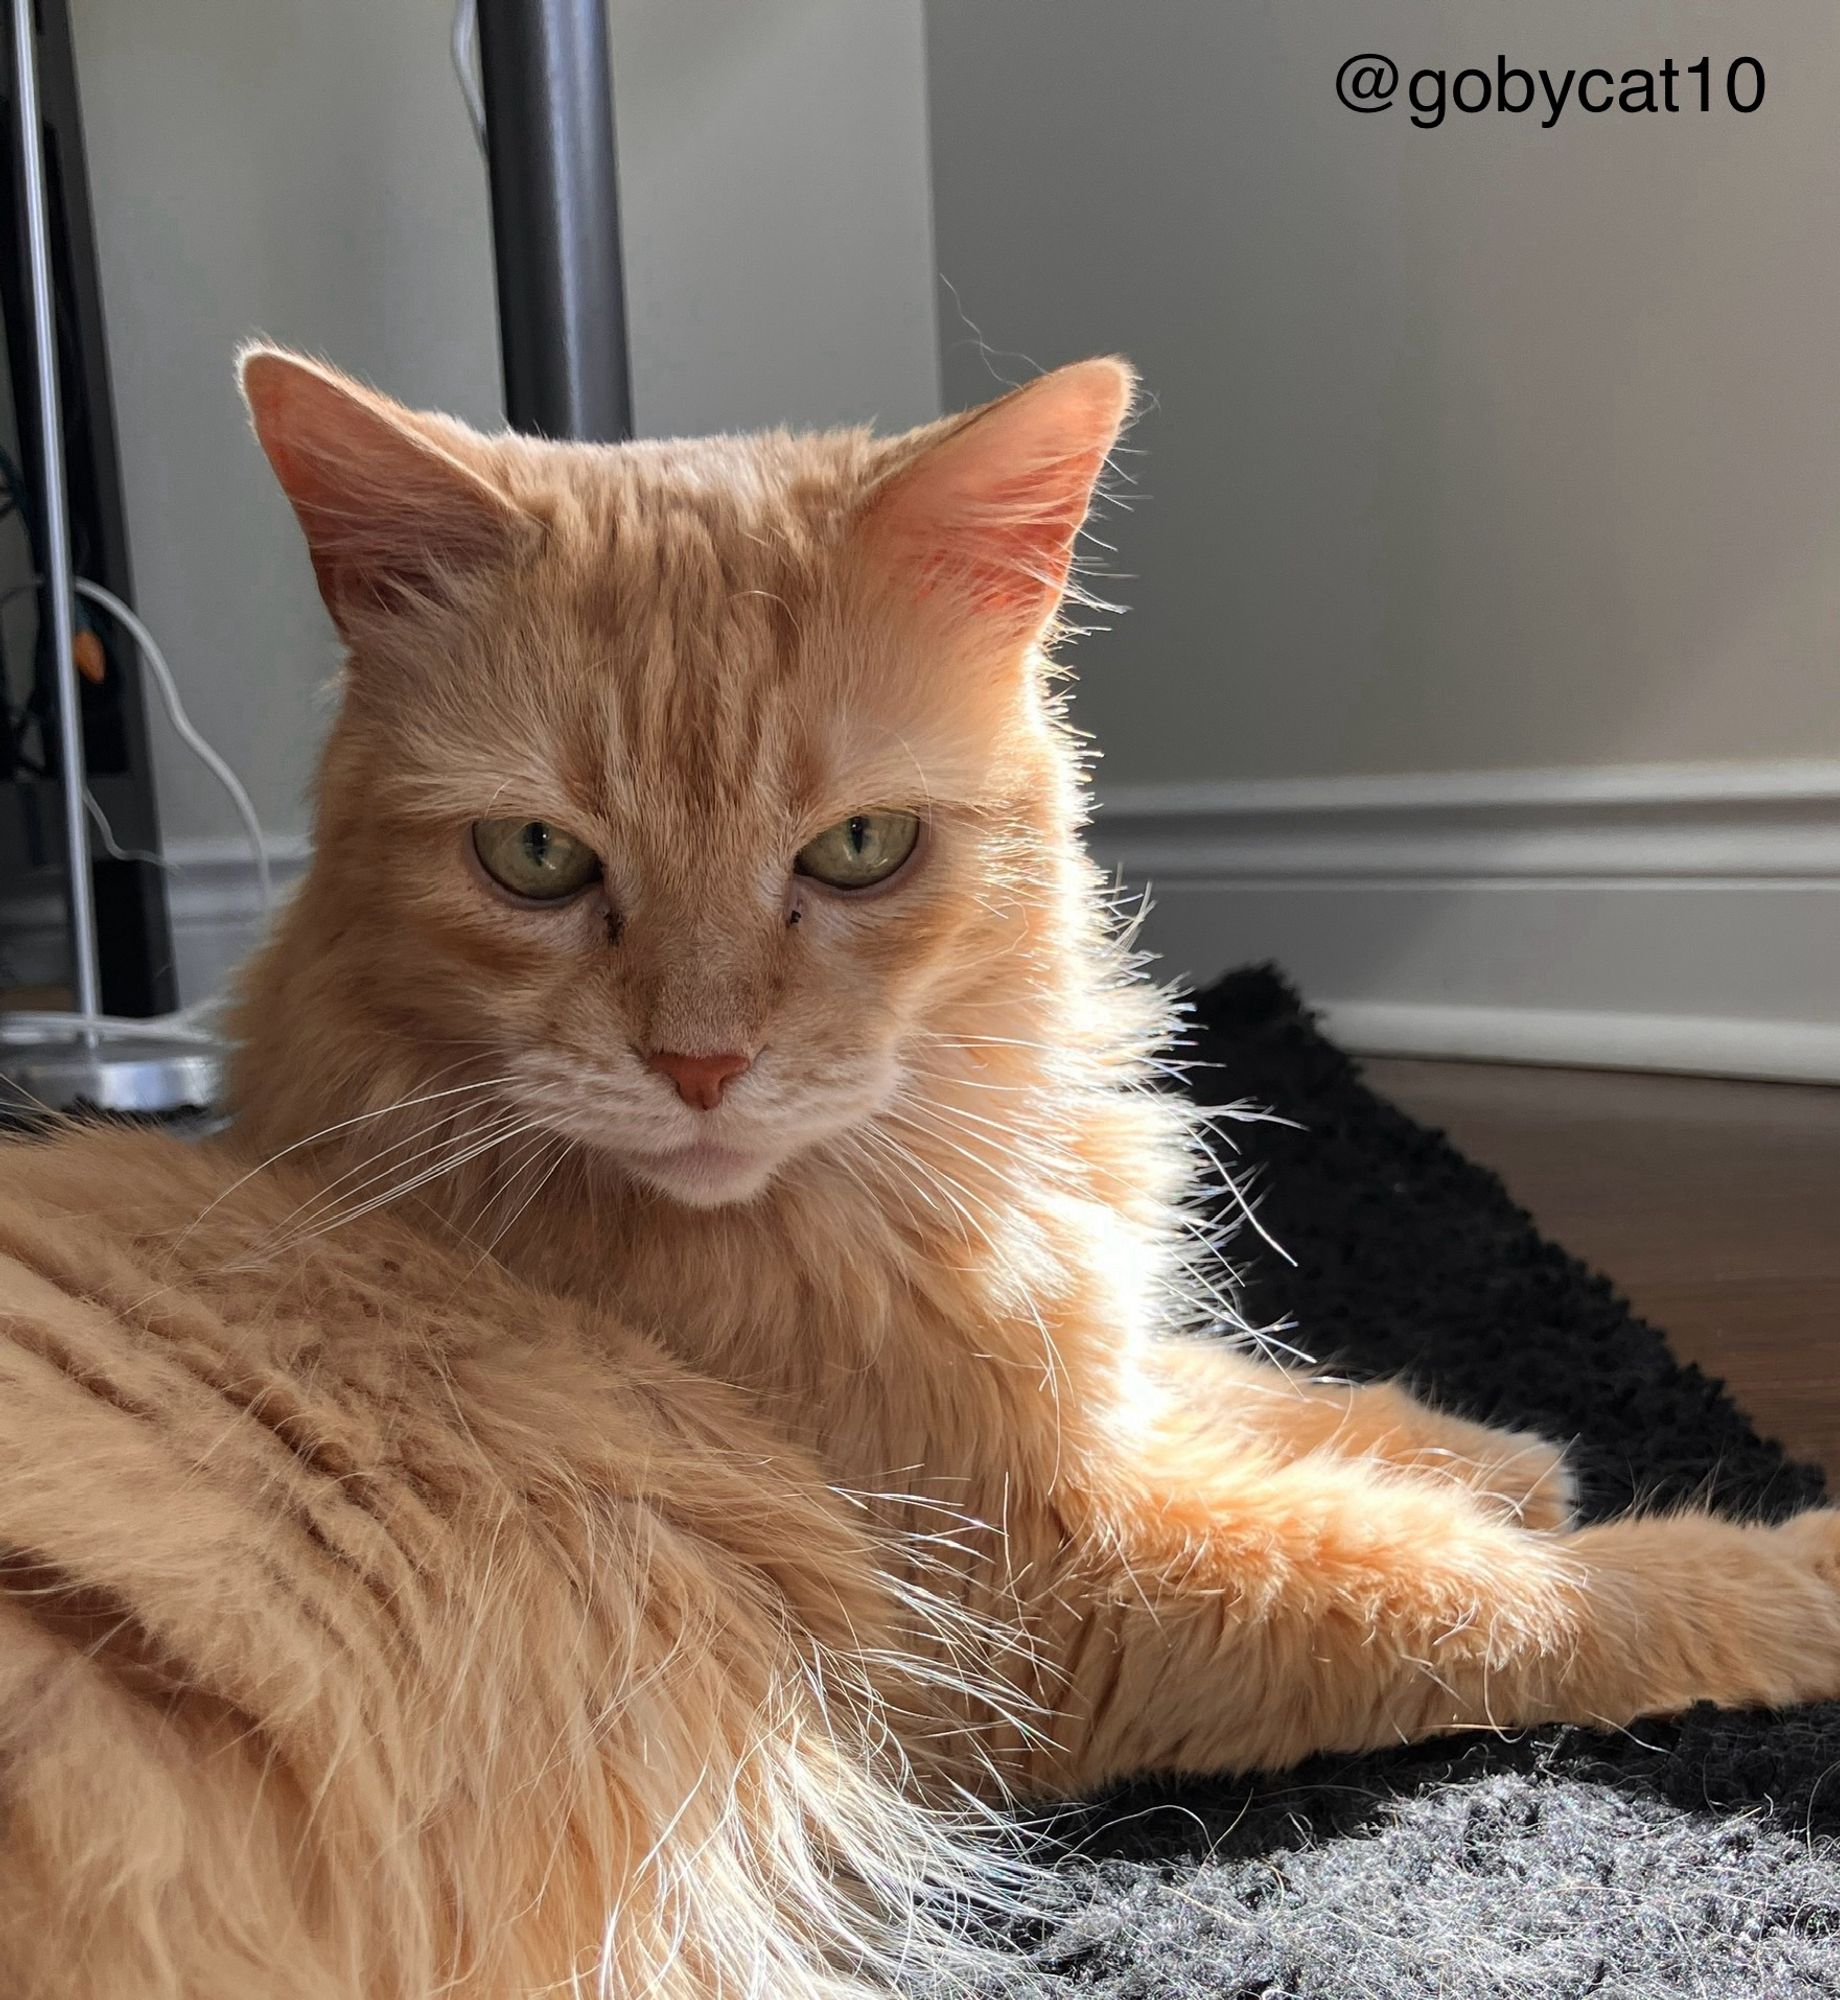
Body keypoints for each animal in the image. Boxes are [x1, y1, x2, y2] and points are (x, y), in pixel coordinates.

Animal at [3, 352, 1840, 1992]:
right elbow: (1489, 1593)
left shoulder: (1064, 1413)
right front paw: (1763, 1566)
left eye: (858, 851)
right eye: (533, 861)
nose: (700, 1067)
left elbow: (1240, 1392)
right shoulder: (1038, 1606)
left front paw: (1495, 1452)